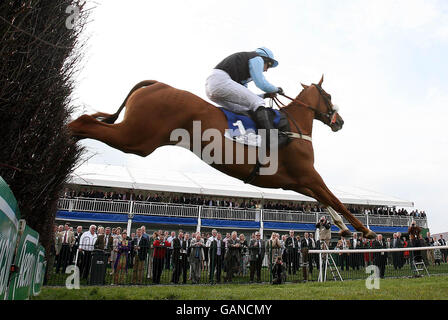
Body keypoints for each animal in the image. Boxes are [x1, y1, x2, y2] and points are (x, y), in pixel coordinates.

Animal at [68, 76, 378, 239]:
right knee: (85, 122)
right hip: (137, 138)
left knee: (88, 121)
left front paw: (341, 226)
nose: (339, 122)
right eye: (328, 95)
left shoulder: (294, 181)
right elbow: (335, 198)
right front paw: (365, 231)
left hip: (137, 137)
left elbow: (324, 200)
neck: (293, 126)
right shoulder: (308, 174)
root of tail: (156, 84)